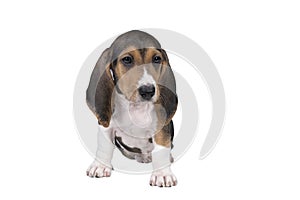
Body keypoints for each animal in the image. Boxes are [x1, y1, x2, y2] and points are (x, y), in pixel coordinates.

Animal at [85, 30, 177, 188]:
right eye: (127, 59)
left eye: (157, 59)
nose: (148, 91)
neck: (135, 108)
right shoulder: (106, 127)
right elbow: (104, 147)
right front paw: (100, 166)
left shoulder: (161, 128)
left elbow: (161, 149)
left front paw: (162, 174)